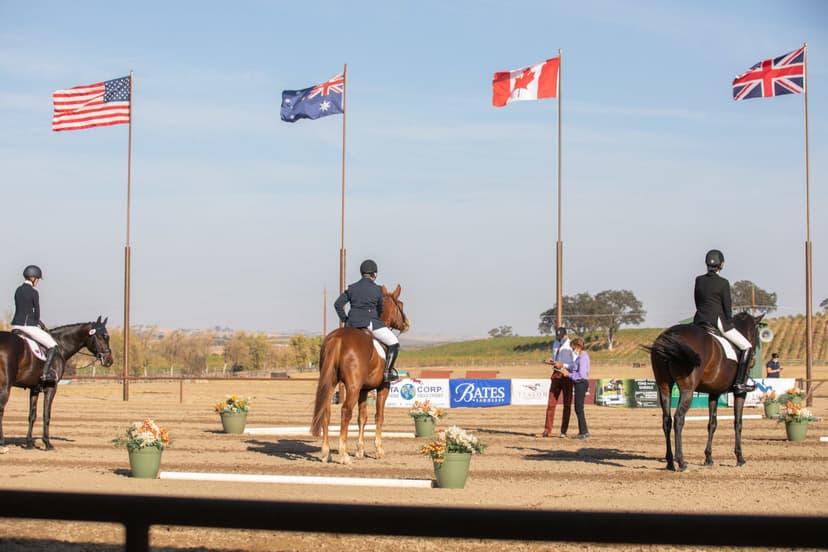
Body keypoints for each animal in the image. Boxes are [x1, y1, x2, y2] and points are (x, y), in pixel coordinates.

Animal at [0, 316, 114, 450]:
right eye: (101, 336)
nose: (109, 361)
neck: (60, 346)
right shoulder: (51, 387)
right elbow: (46, 414)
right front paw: (47, 443)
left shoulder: (34, 389)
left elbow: (32, 416)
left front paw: (29, 443)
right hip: (5, 386)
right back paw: (2, 443)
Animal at [311, 285, 410, 464]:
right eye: (401, 305)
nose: (406, 324)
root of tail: (337, 339)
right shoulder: (383, 387)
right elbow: (379, 416)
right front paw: (378, 450)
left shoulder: (364, 390)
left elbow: (362, 418)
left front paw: (360, 450)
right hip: (353, 388)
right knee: (345, 412)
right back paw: (344, 455)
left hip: (332, 383)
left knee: (326, 413)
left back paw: (326, 453)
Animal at [645, 312, 762, 471]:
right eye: (757, 334)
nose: (754, 361)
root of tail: (671, 335)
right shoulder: (740, 393)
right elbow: (738, 423)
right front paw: (740, 458)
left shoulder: (714, 393)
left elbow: (712, 424)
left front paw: (708, 458)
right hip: (687, 390)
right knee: (679, 419)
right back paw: (681, 462)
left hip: (664, 386)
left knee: (667, 421)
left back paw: (670, 462)